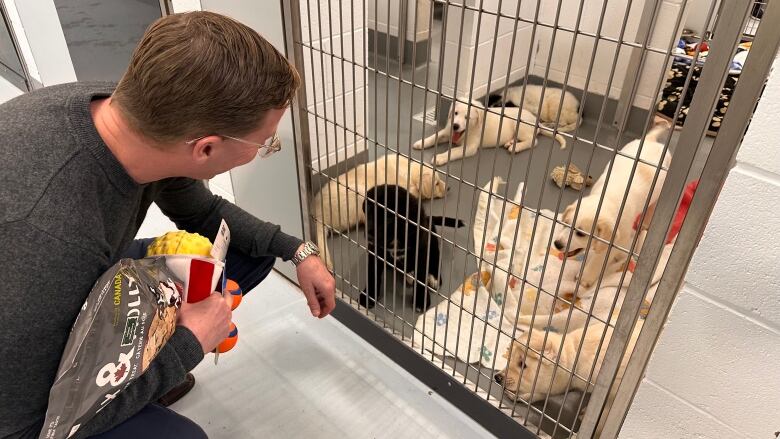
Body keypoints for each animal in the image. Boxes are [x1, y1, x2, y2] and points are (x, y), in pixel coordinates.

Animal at [412, 99, 564, 167]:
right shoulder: (447, 132)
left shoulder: (470, 147)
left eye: (467, 117)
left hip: (520, 126)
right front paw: (421, 142)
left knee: (533, 141)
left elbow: (453, 151)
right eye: (455, 113)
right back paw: (510, 142)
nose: (455, 126)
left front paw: (440, 157)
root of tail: (535, 120)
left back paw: (516, 147)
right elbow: (435, 136)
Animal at [552, 124, 672, 288]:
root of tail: (651, 140)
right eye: (565, 223)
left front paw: (585, 277)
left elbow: (599, 259)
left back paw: (645, 222)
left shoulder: (617, 241)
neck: (607, 199)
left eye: (581, 233)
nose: (557, 244)